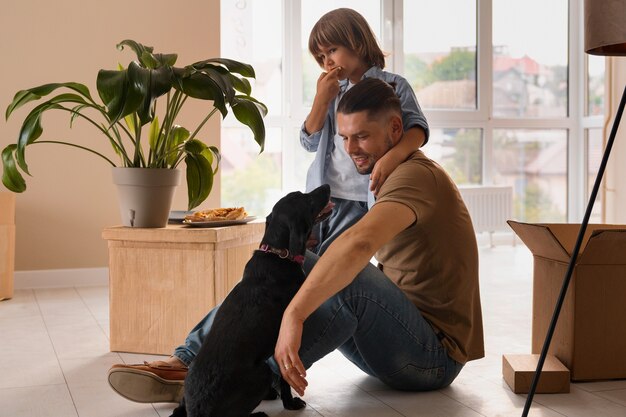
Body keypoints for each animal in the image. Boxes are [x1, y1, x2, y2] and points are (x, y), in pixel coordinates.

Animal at [168, 185, 334, 416]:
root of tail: (198, 410)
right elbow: (285, 379)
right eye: (306, 199)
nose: (326, 186)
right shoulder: (286, 342)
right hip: (262, 372)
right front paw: (290, 403)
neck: (278, 254)